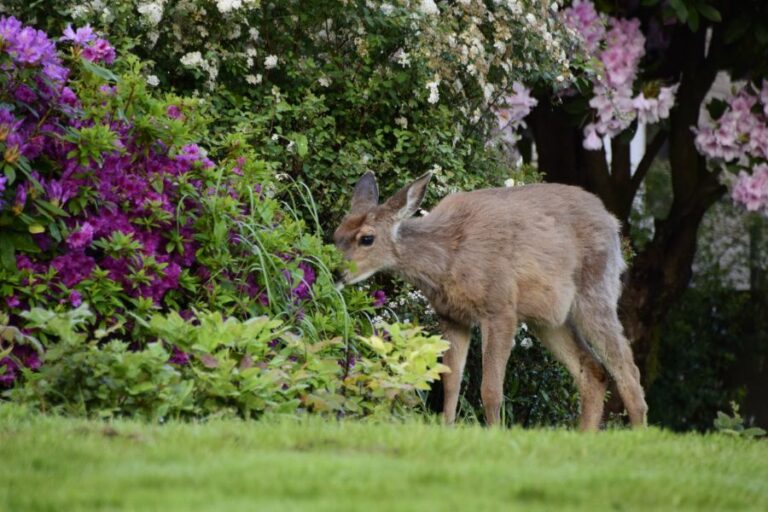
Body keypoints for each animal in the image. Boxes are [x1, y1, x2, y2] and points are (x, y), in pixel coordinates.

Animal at [333, 171, 648, 430]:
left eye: (367, 238)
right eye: (336, 234)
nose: (336, 272)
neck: (447, 257)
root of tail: (613, 222)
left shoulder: (499, 307)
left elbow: (491, 389)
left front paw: (495, 433)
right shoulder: (452, 316)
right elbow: (450, 381)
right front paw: (448, 429)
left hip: (596, 292)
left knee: (628, 370)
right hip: (549, 320)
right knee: (593, 373)